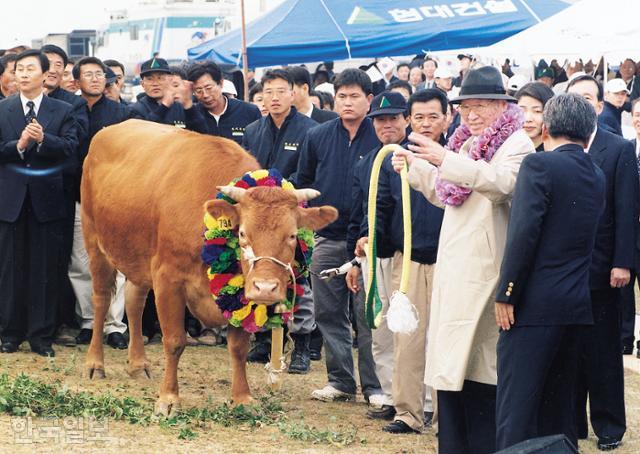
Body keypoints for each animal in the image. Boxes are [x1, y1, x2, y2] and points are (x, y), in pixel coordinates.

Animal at [82, 119, 338, 414]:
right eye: (242, 233)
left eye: (293, 235)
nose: (265, 288)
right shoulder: (168, 278)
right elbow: (174, 341)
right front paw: (168, 398)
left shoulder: (239, 293)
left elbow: (238, 347)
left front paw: (242, 397)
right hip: (95, 243)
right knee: (101, 300)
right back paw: (94, 364)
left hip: (138, 257)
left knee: (134, 302)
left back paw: (138, 364)